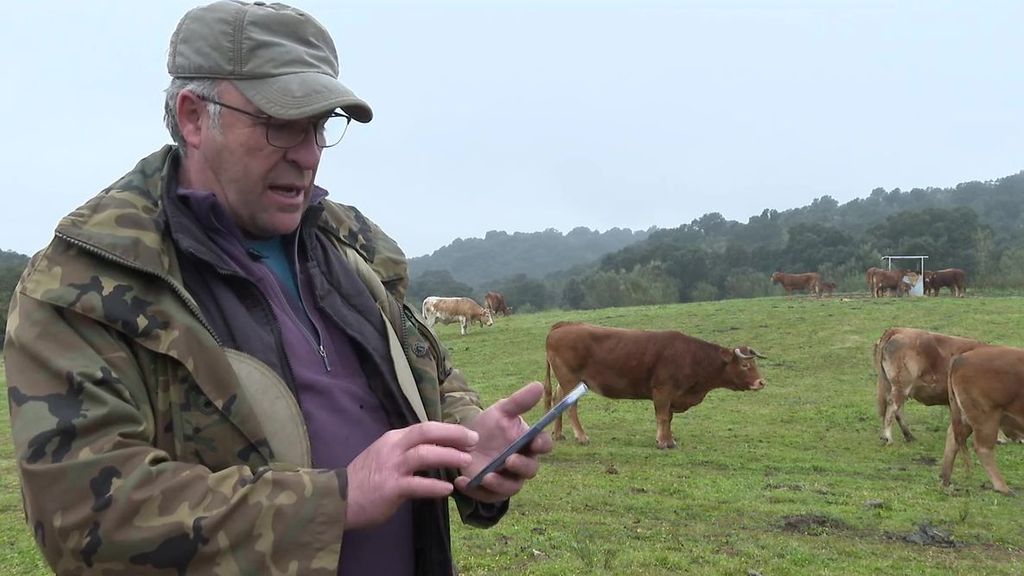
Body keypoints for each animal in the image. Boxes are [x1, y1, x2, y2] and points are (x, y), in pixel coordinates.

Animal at [544, 319, 770, 446]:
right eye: (745, 365)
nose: (761, 382)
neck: (691, 356)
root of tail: (562, 326)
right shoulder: (663, 390)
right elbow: (662, 416)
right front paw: (662, 441)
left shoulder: (672, 395)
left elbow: (668, 418)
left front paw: (669, 440)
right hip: (570, 379)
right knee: (570, 406)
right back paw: (581, 436)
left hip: (566, 380)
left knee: (557, 400)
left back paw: (558, 434)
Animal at [937, 342, 1024, 491]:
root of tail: (961, 358)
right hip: (987, 418)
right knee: (982, 448)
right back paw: (1003, 488)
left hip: (966, 417)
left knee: (953, 438)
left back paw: (945, 479)